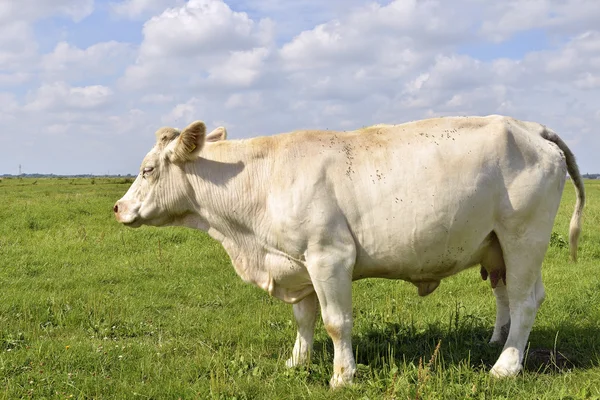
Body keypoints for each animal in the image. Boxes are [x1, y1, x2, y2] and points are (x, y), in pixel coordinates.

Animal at [115, 115, 584, 388]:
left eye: (147, 170)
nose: (118, 207)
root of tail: (528, 126)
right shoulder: (297, 263)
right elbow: (304, 320)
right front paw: (297, 361)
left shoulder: (329, 256)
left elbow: (335, 322)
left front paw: (343, 375)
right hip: (497, 245)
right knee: (506, 294)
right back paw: (498, 341)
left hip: (524, 237)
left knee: (525, 300)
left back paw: (507, 365)